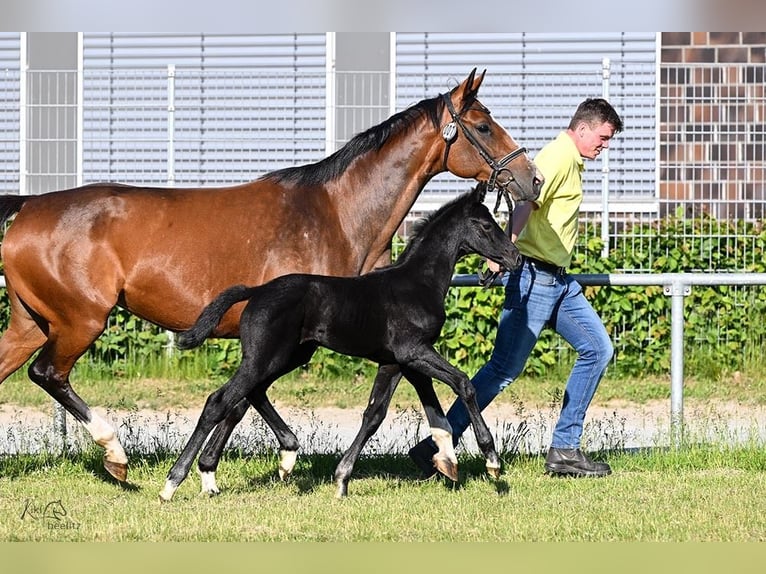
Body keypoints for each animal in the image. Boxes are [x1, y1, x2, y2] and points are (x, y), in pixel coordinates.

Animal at [162, 183, 520, 500]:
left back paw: (281, 457)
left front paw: (442, 462)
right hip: (266, 357)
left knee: (253, 393)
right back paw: (173, 483)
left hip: (288, 356)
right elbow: (463, 384)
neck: (418, 283)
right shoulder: (414, 351)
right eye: (486, 225)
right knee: (219, 401)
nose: (515, 257)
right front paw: (491, 460)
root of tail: (257, 290)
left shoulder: (399, 361)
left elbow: (382, 414)